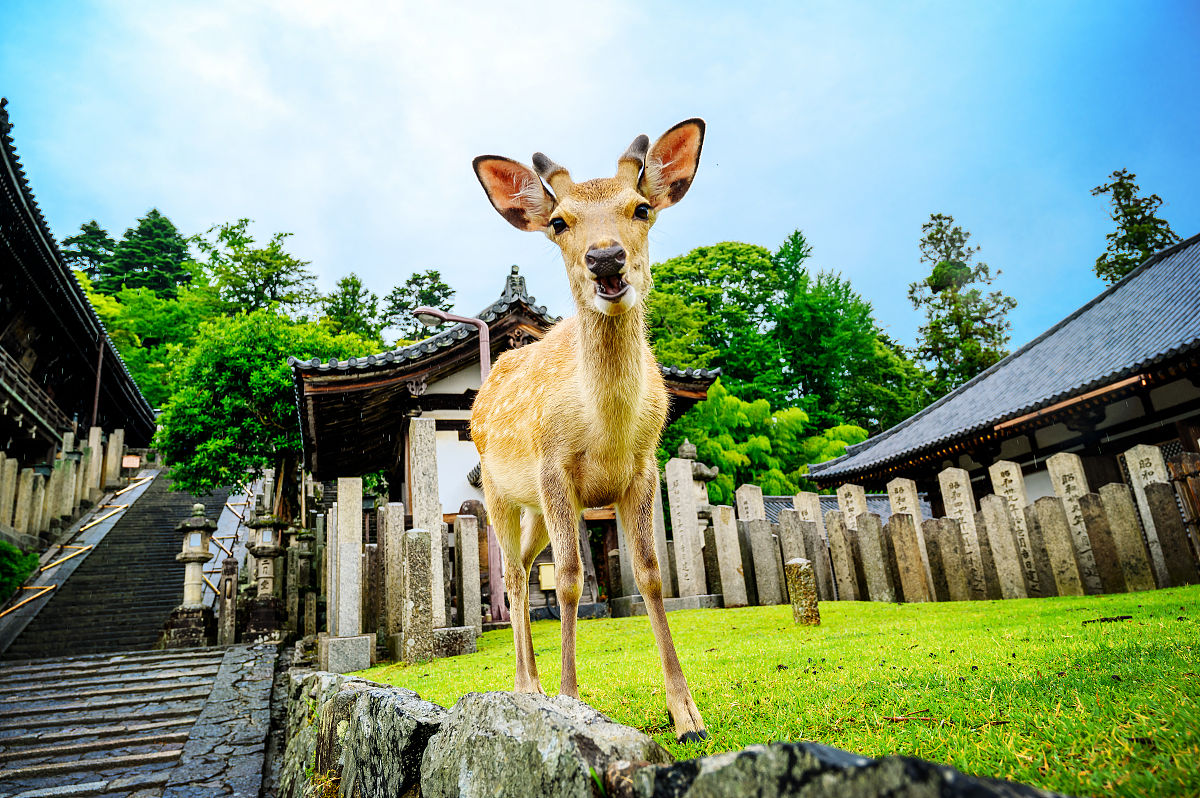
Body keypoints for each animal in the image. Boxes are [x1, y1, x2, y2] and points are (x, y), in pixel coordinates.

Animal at [469, 119, 708, 742]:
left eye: (641, 208)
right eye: (559, 221)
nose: (606, 259)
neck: (608, 433)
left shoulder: (642, 471)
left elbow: (650, 575)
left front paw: (687, 716)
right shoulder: (555, 469)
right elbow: (573, 579)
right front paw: (569, 699)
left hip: (535, 511)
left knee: (530, 567)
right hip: (500, 493)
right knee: (515, 577)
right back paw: (527, 685)